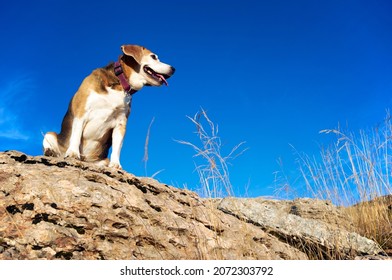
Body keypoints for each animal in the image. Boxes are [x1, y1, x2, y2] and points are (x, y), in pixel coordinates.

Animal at [42, 44, 175, 168]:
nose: (173, 69)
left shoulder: (120, 123)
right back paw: (51, 152)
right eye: (153, 57)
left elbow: (117, 147)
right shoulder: (81, 113)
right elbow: (76, 134)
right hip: (50, 134)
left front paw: (116, 164)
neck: (119, 83)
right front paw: (73, 153)